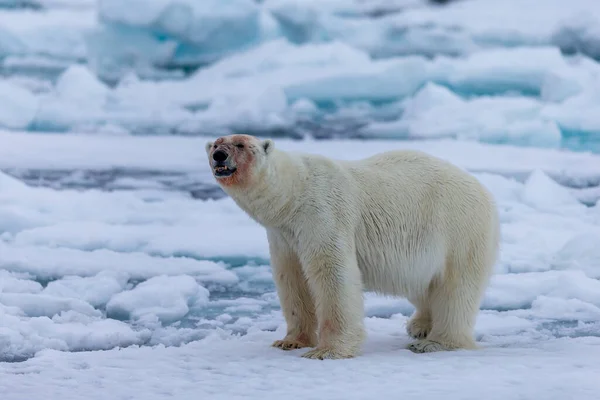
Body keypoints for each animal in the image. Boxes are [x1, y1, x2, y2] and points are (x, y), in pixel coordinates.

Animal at [206, 134, 502, 360]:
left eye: (241, 144)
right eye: (215, 143)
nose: (219, 155)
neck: (293, 195)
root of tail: (484, 190)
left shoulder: (322, 213)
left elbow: (333, 274)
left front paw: (326, 350)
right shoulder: (284, 236)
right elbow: (292, 280)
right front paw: (289, 341)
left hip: (457, 230)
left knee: (455, 288)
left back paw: (435, 342)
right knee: (423, 283)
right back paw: (419, 326)